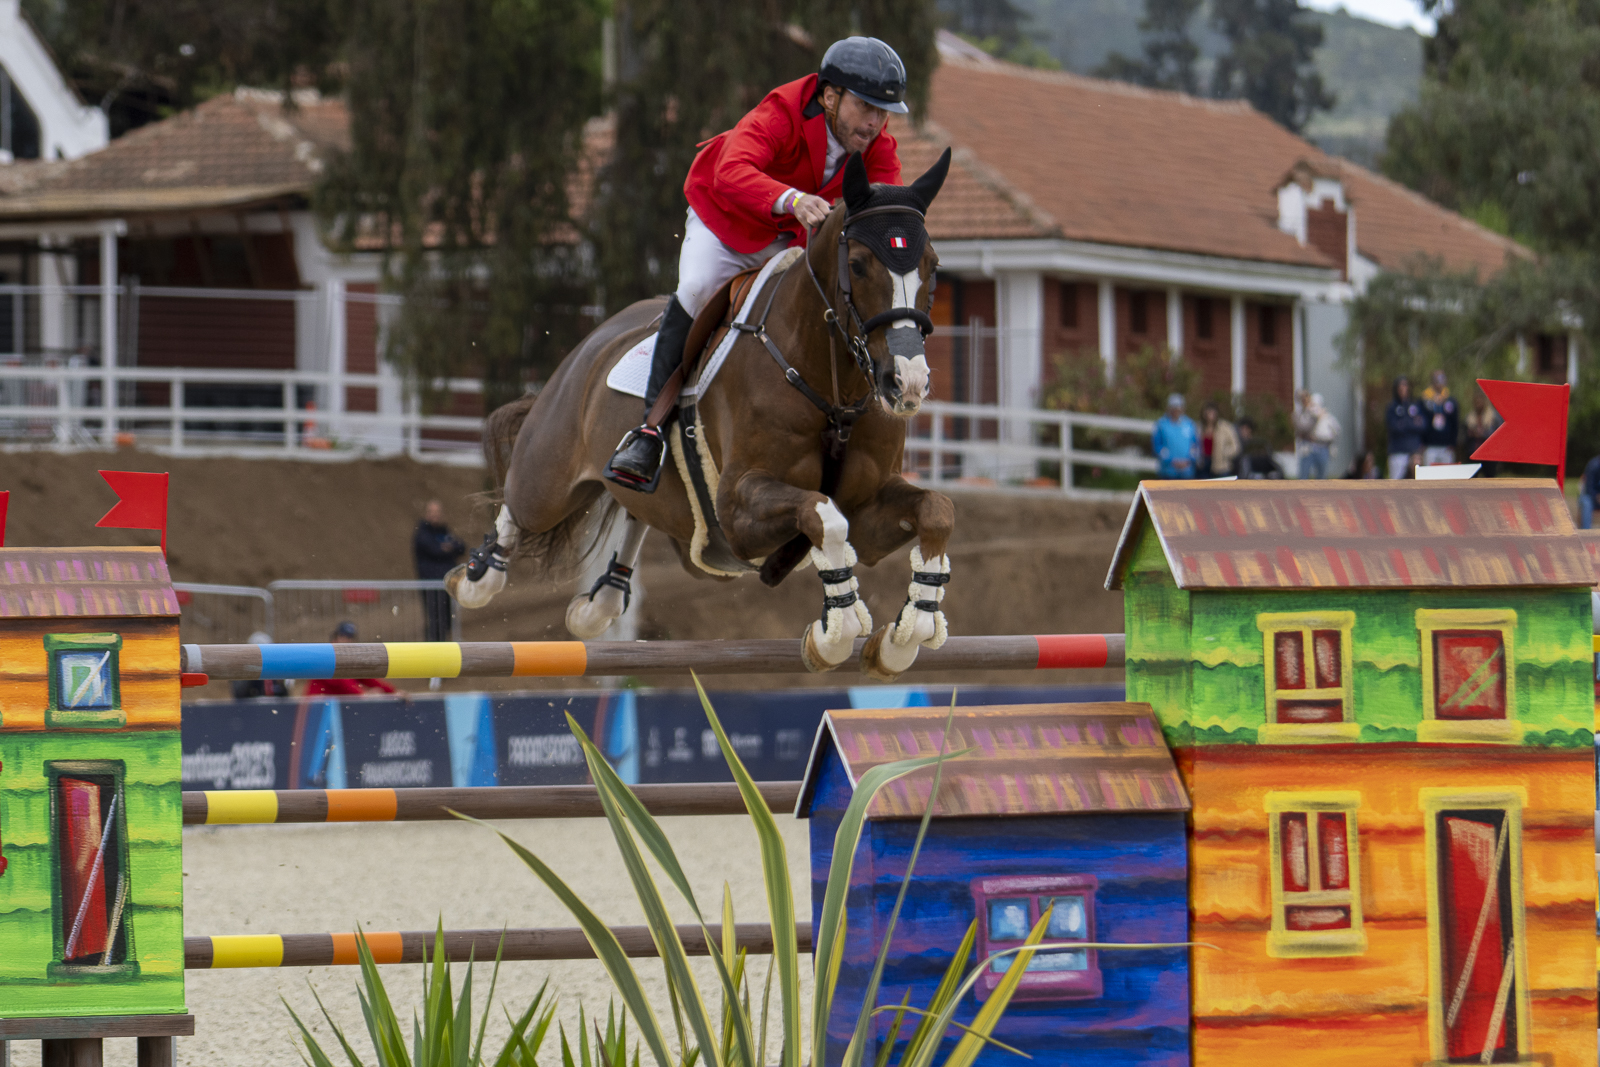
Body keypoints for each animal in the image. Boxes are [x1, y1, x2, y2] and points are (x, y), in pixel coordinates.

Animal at [444, 147, 953, 684]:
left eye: (933, 266)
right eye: (857, 265)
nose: (907, 383)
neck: (832, 386)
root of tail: (594, 340)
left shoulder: (868, 506)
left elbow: (936, 510)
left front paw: (907, 633)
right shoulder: (737, 510)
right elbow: (824, 515)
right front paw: (837, 630)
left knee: (634, 513)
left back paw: (600, 601)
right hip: (551, 475)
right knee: (520, 505)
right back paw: (476, 577)